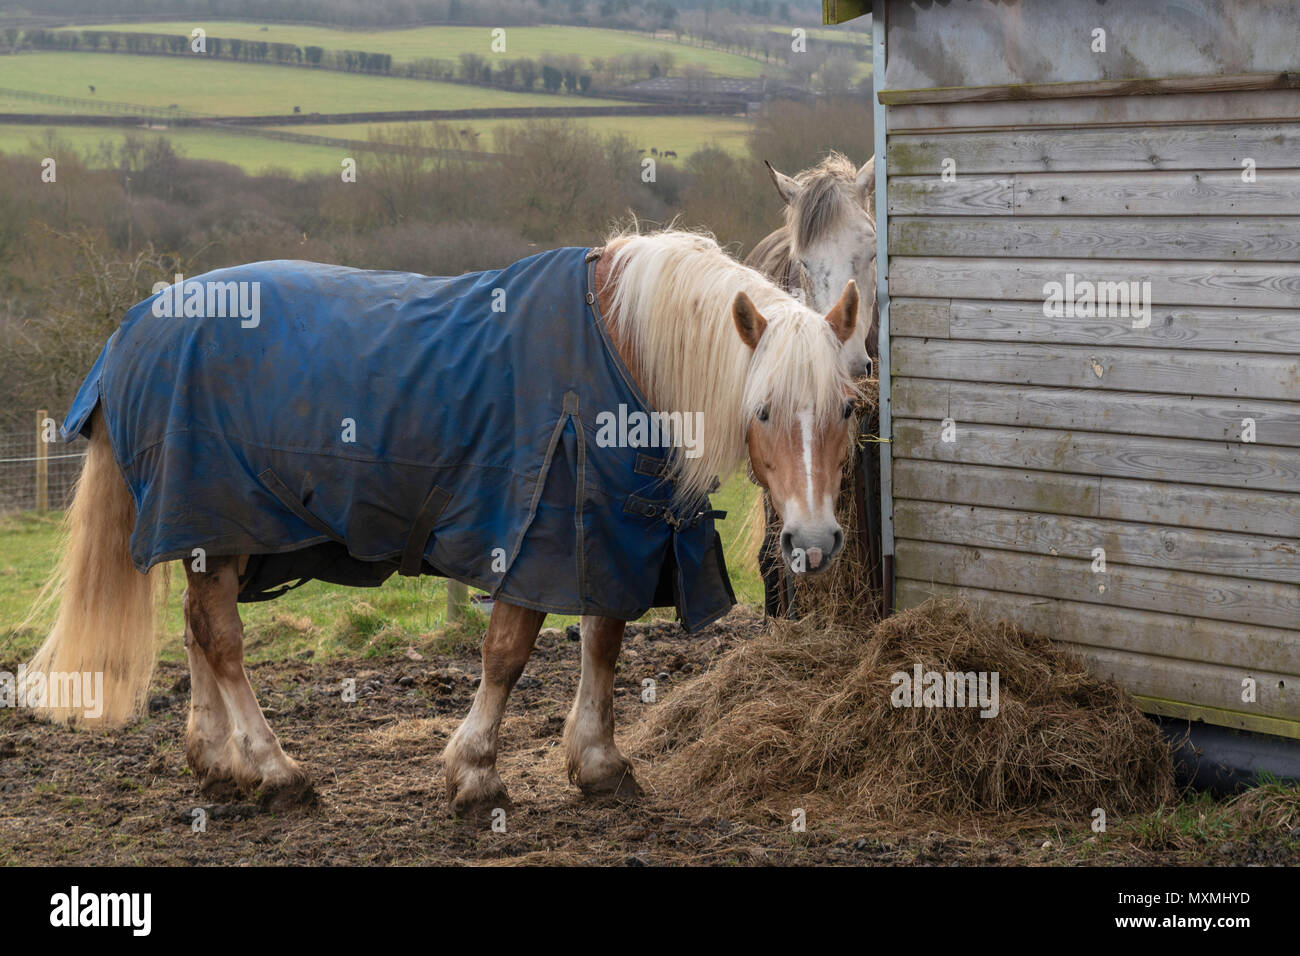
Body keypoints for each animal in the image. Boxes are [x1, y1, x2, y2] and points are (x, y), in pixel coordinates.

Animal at [27, 227, 863, 811]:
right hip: (219, 520)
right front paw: (476, 772)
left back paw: (218, 762)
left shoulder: (611, 532)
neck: (623, 347)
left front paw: (599, 764)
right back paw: (273, 768)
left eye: (849, 409)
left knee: (200, 632)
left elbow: (604, 643)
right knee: (222, 638)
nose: (815, 541)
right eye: (762, 409)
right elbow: (507, 654)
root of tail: (134, 326)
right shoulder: (536, 538)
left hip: (217, 536)